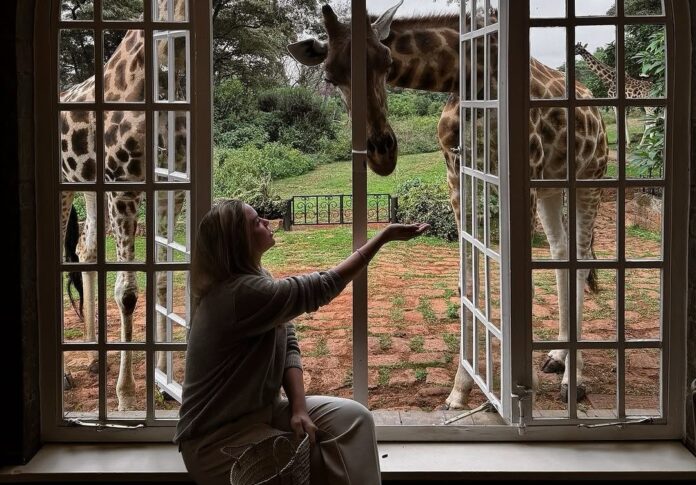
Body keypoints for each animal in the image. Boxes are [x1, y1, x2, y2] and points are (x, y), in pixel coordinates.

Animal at [60, 0, 188, 411]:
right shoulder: (123, 186)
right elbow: (128, 293)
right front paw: (126, 395)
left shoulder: (171, 191)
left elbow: (163, 280)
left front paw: (164, 378)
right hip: (66, 187)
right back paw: (66, 374)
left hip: (88, 187)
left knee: (85, 249)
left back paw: (93, 355)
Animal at [289, 2, 608, 407]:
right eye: (331, 77)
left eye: (386, 61)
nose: (382, 153)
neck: (467, 78)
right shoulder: (458, 174)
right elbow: (468, 282)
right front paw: (460, 389)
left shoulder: (523, 168)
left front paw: (517, 389)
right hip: (552, 185)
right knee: (561, 253)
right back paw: (557, 356)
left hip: (590, 175)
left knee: (580, 258)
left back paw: (573, 378)